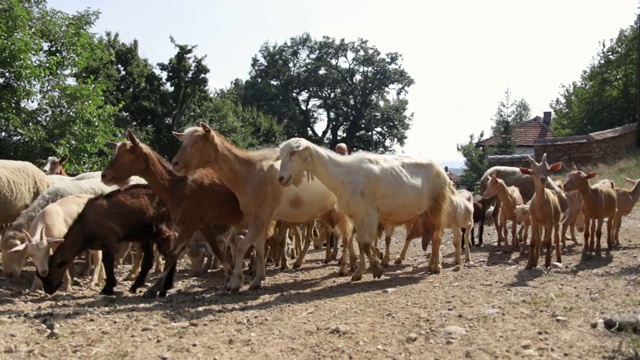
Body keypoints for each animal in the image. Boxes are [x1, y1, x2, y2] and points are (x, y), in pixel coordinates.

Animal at [38, 186, 176, 296]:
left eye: (49, 277)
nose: (48, 290)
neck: (85, 225)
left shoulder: (110, 241)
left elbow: (108, 262)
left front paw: (108, 288)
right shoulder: (103, 245)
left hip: (161, 230)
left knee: (170, 254)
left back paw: (165, 287)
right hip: (147, 236)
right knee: (149, 259)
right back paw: (137, 286)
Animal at [101, 130, 244, 298]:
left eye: (125, 154)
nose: (104, 175)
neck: (176, 186)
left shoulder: (189, 224)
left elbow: (172, 255)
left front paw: (153, 288)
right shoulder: (202, 224)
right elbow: (216, 249)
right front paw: (230, 278)